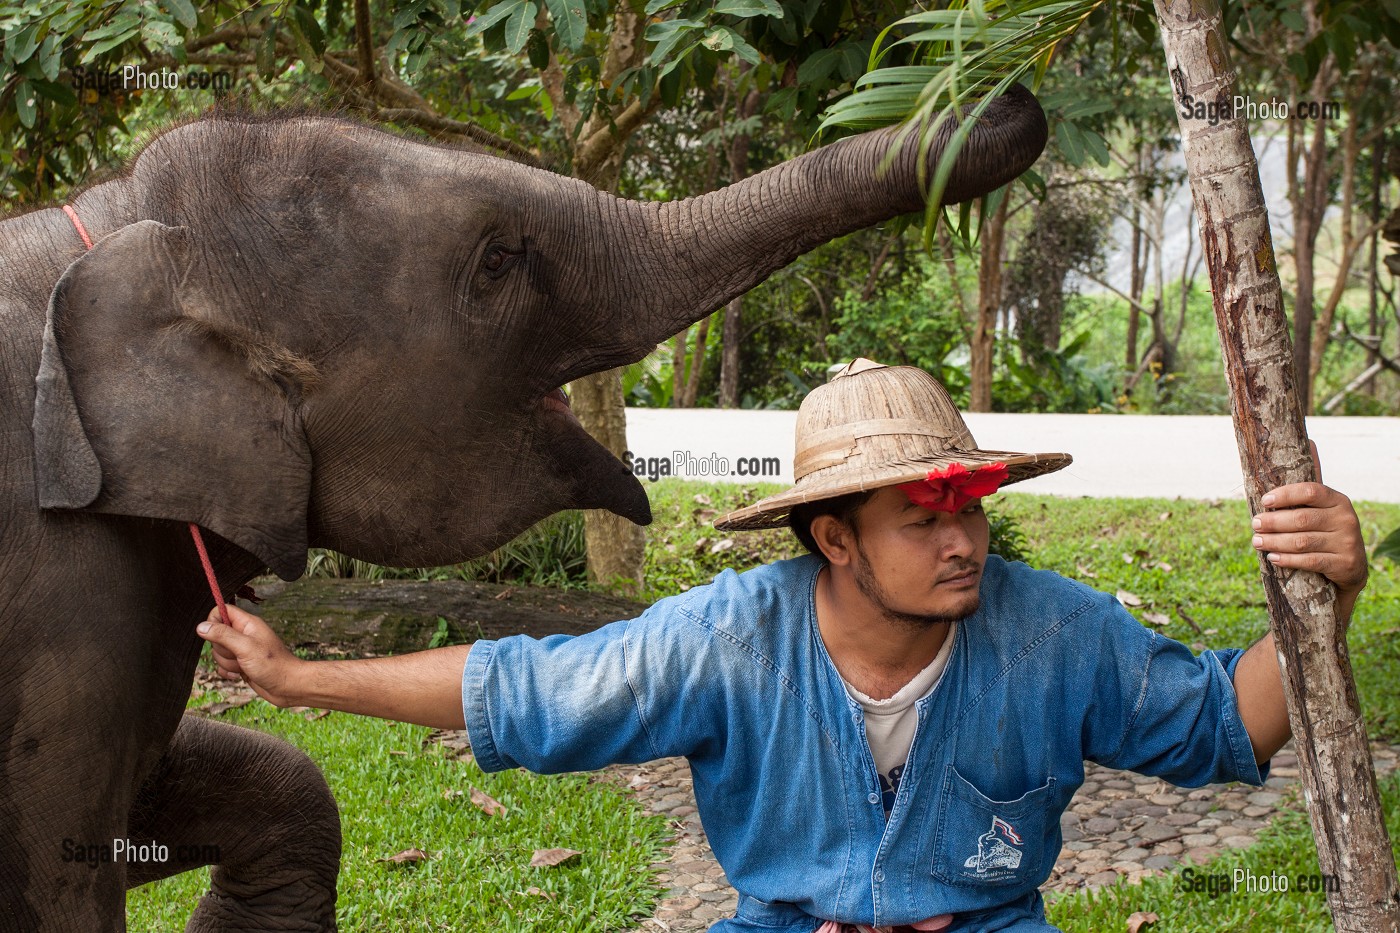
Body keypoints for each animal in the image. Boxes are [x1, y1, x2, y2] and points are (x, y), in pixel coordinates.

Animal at [0, 85, 1047, 932]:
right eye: (498, 258)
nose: (1007, 94)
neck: (111, 224)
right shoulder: (60, 587)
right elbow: (60, 872)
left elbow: (263, 791)